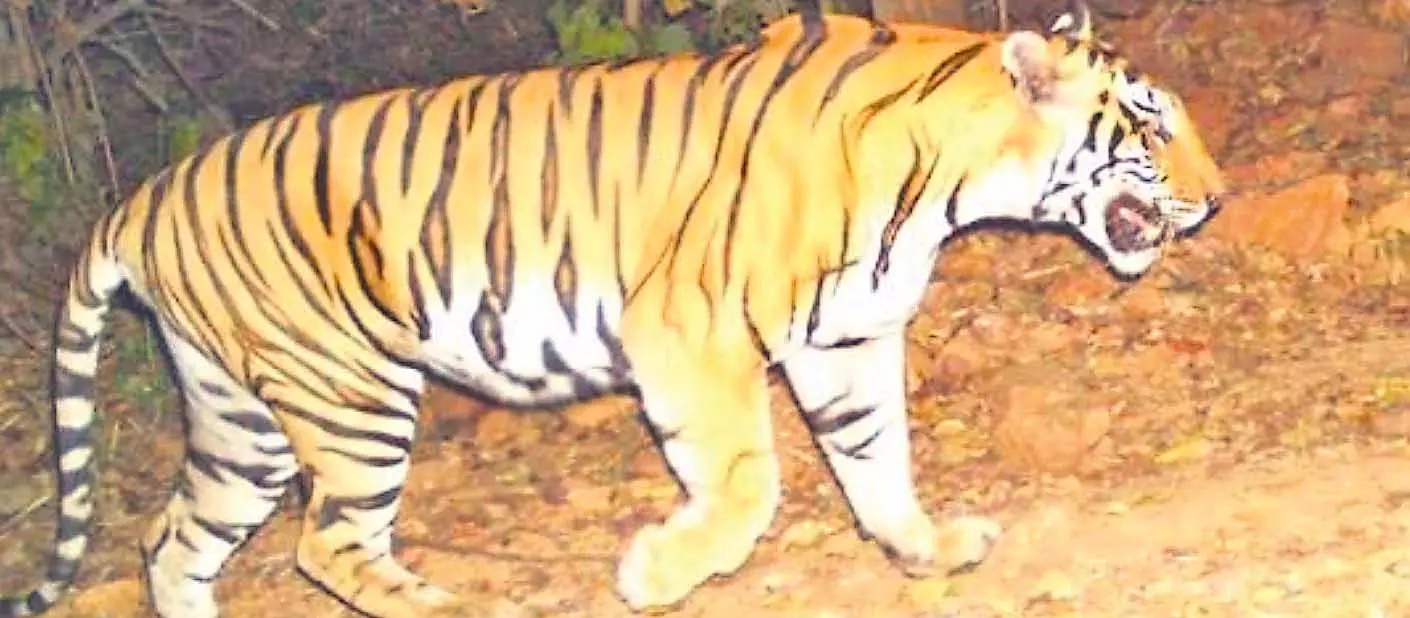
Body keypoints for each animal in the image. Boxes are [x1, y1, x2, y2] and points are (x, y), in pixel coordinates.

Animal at [1, 2, 1224, 617]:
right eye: (1152, 123)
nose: (1217, 200)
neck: (947, 183)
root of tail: (144, 195)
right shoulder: (690, 333)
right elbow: (750, 483)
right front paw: (654, 576)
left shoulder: (847, 338)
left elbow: (877, 464)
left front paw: (926, 550)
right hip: (350, 395)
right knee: (329, 545)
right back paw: (461, 611)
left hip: (242, 419)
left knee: (173, 544)